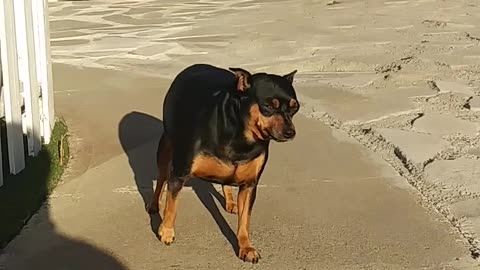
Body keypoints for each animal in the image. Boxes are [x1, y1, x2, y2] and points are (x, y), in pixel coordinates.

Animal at [147, 62, 300, 262]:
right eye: (267, 106)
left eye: (295, 108)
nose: (291, 132)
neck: (241, 137)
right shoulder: (179, 173)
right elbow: (171, 205)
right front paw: (166, 231)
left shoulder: (250, 185)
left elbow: (245, 220)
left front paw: (246, 247)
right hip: (166, 145)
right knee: (161, 177)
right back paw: (153, 204)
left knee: (227, 182)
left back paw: (230, 201)